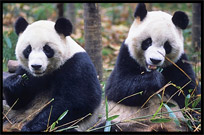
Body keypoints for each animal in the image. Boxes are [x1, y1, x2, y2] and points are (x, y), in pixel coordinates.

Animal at [103, 3, 201, 132]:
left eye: (167, 46)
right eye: (148, 41)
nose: (155, 60)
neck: (149, 70)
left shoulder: (178, 63)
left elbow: (189, 93)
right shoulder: (126, 56)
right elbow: (117, 88)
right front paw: (156, 79)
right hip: (120, 123)